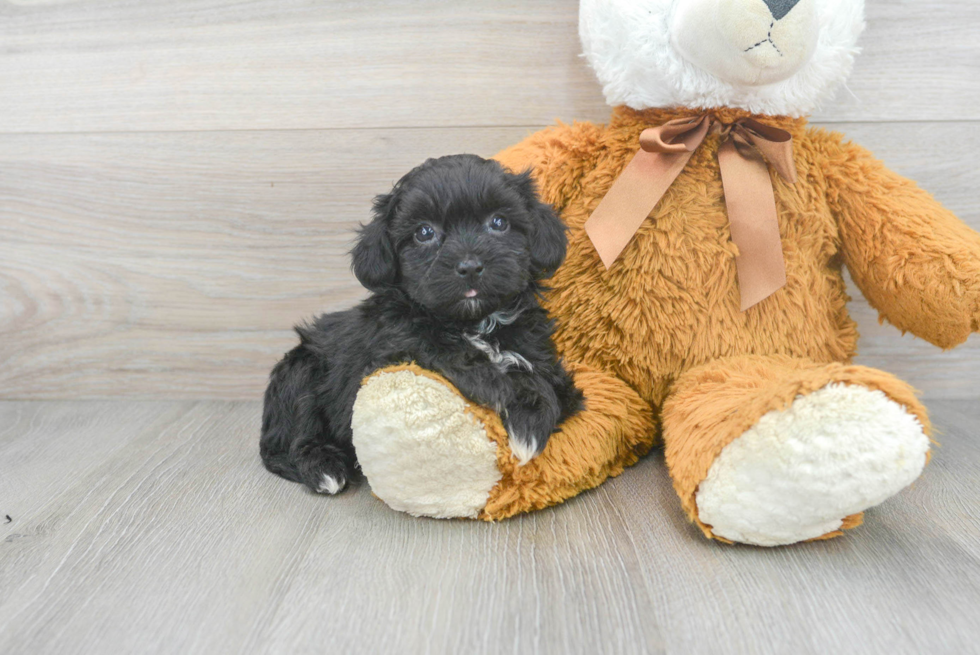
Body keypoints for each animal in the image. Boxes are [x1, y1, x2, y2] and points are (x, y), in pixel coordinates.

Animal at [258, 155, 580, 492]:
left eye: (499, 222)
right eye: (424, 232)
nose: (469, 266)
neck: (474, 323)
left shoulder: (544, 358)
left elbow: (548, 384)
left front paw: (530, 419)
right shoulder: (391, 350)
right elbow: (441, 349)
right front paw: (500, 390)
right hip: (300, 372)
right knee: (296, 433)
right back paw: (323, 466)